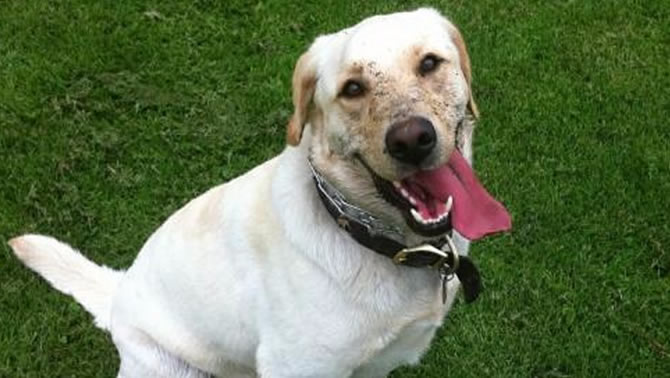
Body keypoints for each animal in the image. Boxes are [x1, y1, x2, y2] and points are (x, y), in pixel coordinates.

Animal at [10, 8, 512, 378]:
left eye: (429, 63)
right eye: (352, 88)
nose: (411, 140)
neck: (366, 235)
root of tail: (118, 292)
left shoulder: (374, 365)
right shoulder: (298, 367)